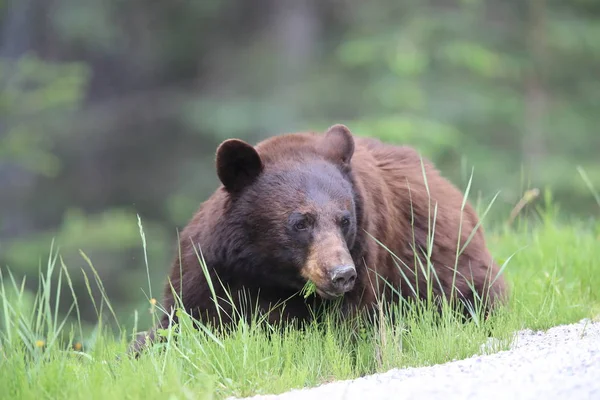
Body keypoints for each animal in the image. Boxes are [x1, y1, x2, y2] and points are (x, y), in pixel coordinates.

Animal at [130, 122, 506, 354]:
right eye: (301, 221)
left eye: (345, 219)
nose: (341, 274)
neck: (269, 273)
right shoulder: (211, 272)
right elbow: (182, 323)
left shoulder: (367, 262)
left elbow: (348, 329)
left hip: (444, 267)